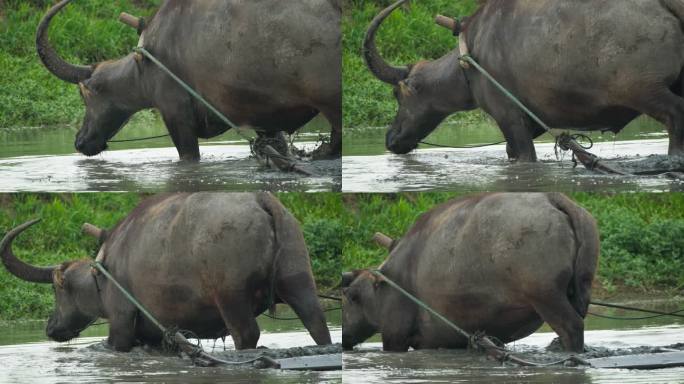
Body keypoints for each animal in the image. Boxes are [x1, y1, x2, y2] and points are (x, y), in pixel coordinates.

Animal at [0, 194, 332, 352]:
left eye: (57, 290)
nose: (50, 327)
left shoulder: (121, 322)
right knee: (318, 325)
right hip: (300, 281)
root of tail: (262, 200)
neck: (104, 271)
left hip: (231, 297)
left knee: (246, 334)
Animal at [36, 0, 340, 160]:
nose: (79, 142)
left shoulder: (176, 117)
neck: (146, 63)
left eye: (84, 94)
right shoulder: (265, 122)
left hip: (333, 107)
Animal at [342, 194, 600, 352]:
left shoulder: (394, 336)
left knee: (571, 327)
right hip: (579, 291)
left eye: (352, 297)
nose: (345, 337)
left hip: (547, 297)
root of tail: (553, 198)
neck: (388, 282)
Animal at [368, 0, 684, 160]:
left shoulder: (509, 117)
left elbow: (521, 155)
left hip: (646, 91)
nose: (390, 139)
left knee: (675, 116)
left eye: (398, 95)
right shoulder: (533, 120)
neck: (471, 57)